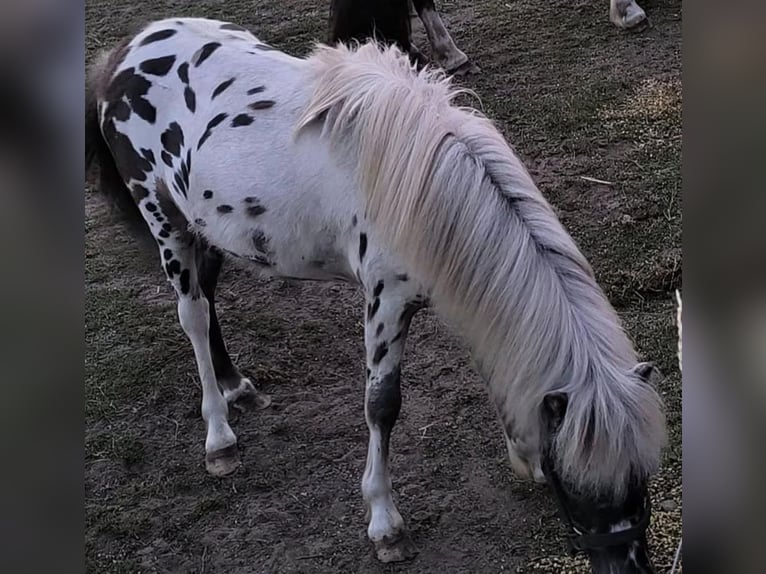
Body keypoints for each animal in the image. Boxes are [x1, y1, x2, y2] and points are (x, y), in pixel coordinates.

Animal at [85, 18, 666, 572]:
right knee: (193, 315)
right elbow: (382, 406)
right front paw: (385, 525)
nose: (629, 567)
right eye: (578, 483)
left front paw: (521, 453)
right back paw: (219, 437)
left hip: (205, 227)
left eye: (641, 476)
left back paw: (237, 387)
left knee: (207, 300)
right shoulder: (385, 302)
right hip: (166, 222)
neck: (426, 185)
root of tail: (124, 54)